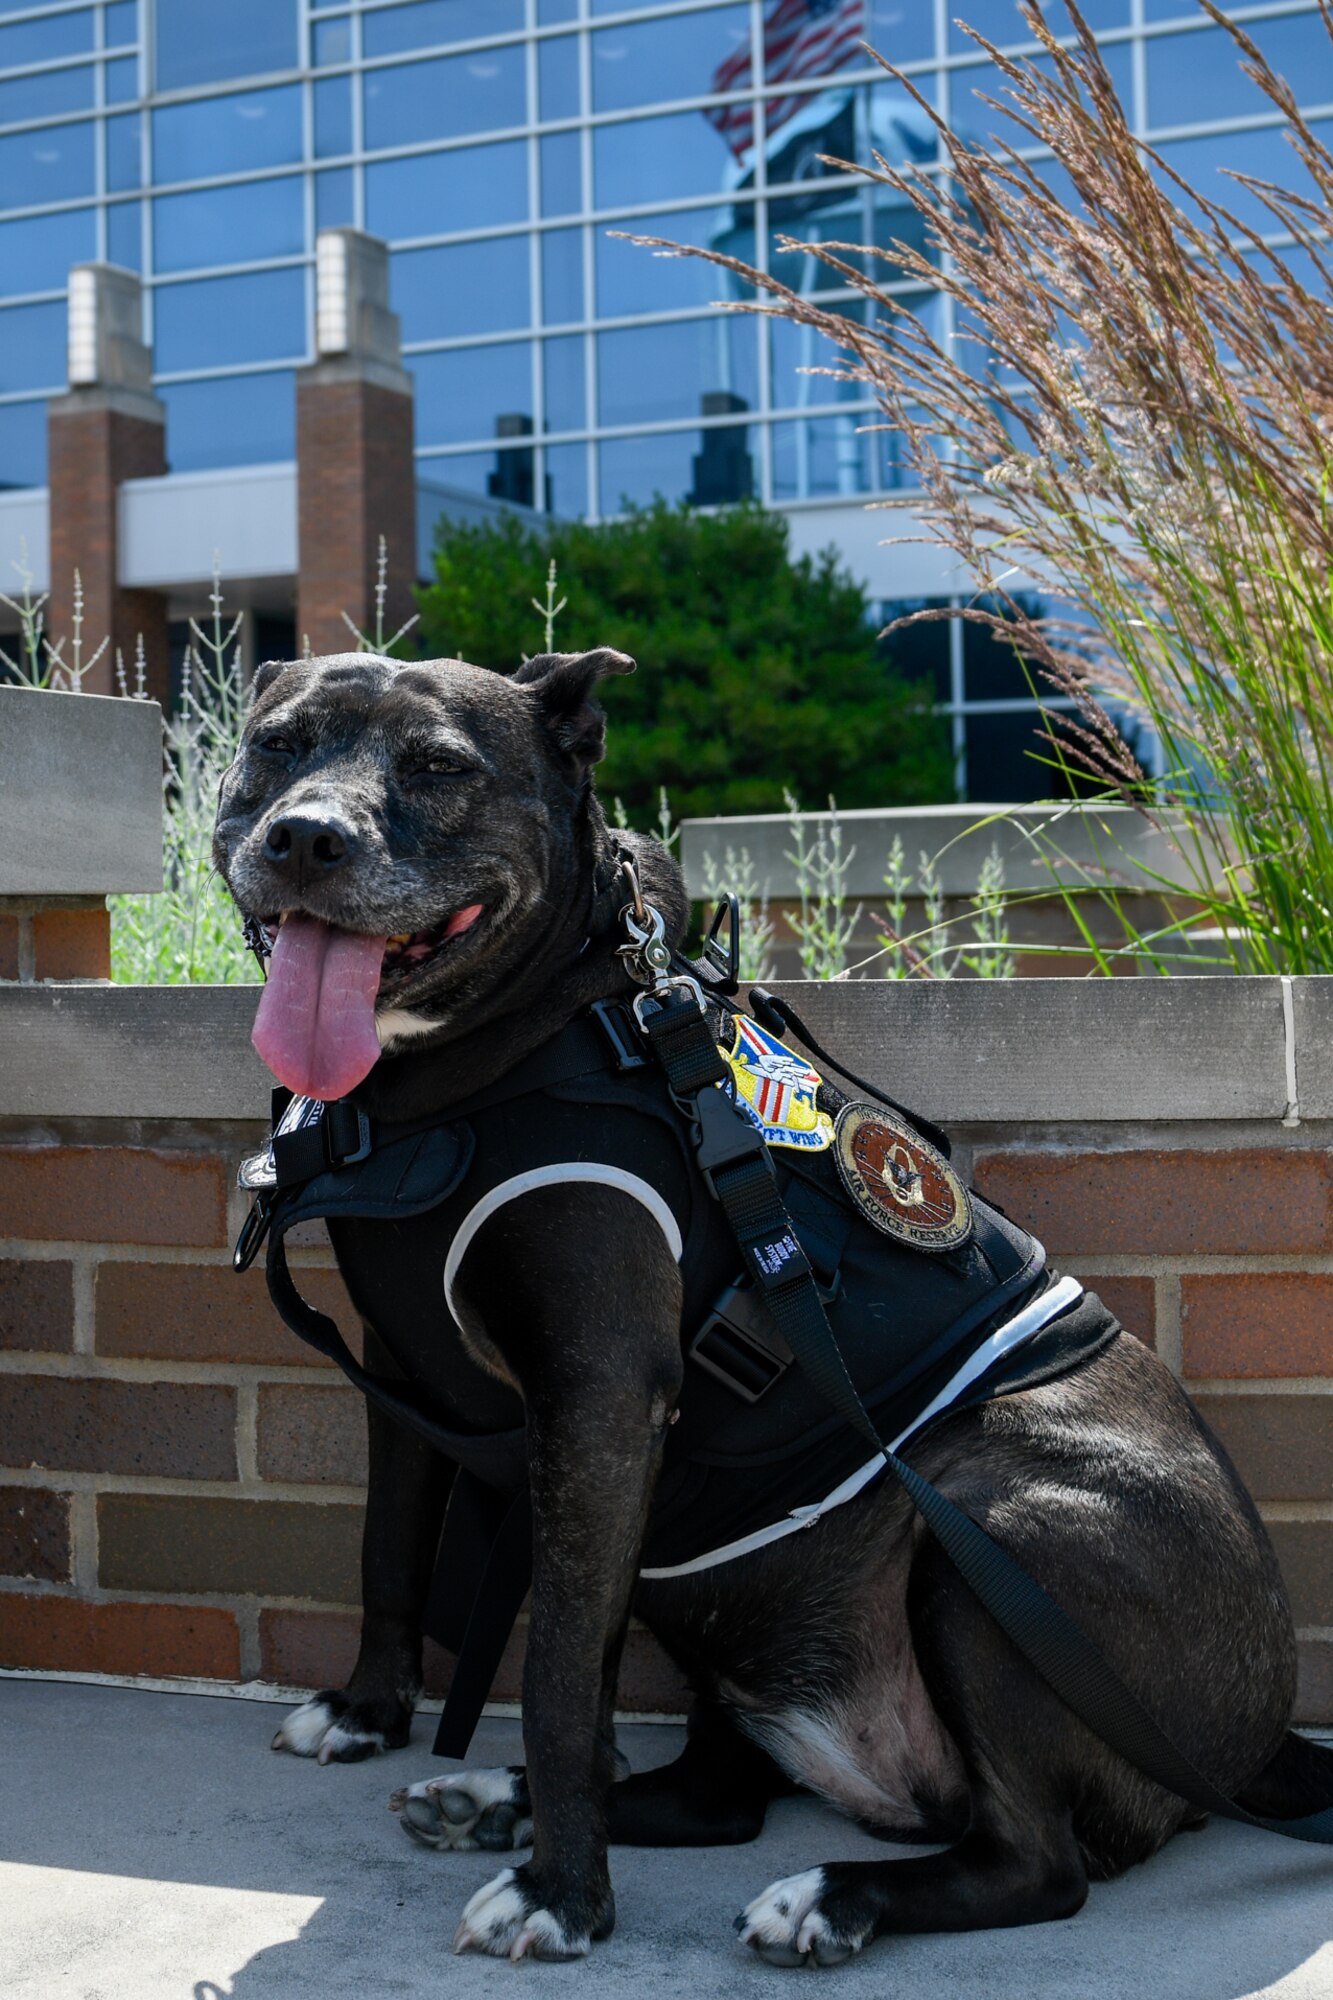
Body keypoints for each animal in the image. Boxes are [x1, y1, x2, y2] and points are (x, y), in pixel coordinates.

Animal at [215, 652, 1320, 1968]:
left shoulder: (597, 1402)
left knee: (1038, 1865)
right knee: (718, 1794)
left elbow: (556, 1672)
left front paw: (563, 1894)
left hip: (999, 1541)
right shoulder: (404, 1364)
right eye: (277, 745)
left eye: (440, 765)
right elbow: (389, 1545)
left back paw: (825, 1893)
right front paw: (371, 1707)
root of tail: (1255, 1741)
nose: (306, 837)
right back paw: (496, 1798)